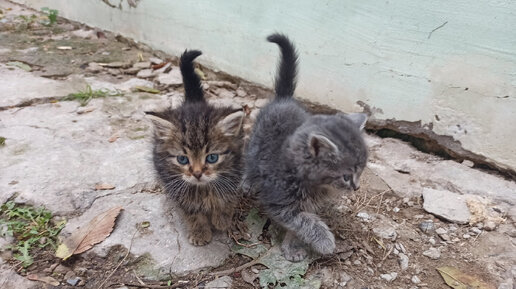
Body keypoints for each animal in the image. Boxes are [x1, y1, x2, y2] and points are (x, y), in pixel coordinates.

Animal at [147, 49, 246, 245]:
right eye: (182, 159)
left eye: (212, 157)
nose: (198, 173)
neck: (204, 188)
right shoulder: (177, 188)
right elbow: (192, 212)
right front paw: (200, 232)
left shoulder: (234, 173)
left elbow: (226, 199)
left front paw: (221, 219)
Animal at [245, 33, 368, 260]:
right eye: (346, 176)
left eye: (361, 171)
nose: (356, 187)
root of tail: (285, 99)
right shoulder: (280, 203)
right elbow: (304, 221)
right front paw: (324, 241)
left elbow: (298, 225)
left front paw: (290, 246)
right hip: (256, 142)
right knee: (250, 160)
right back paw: (248, 182)